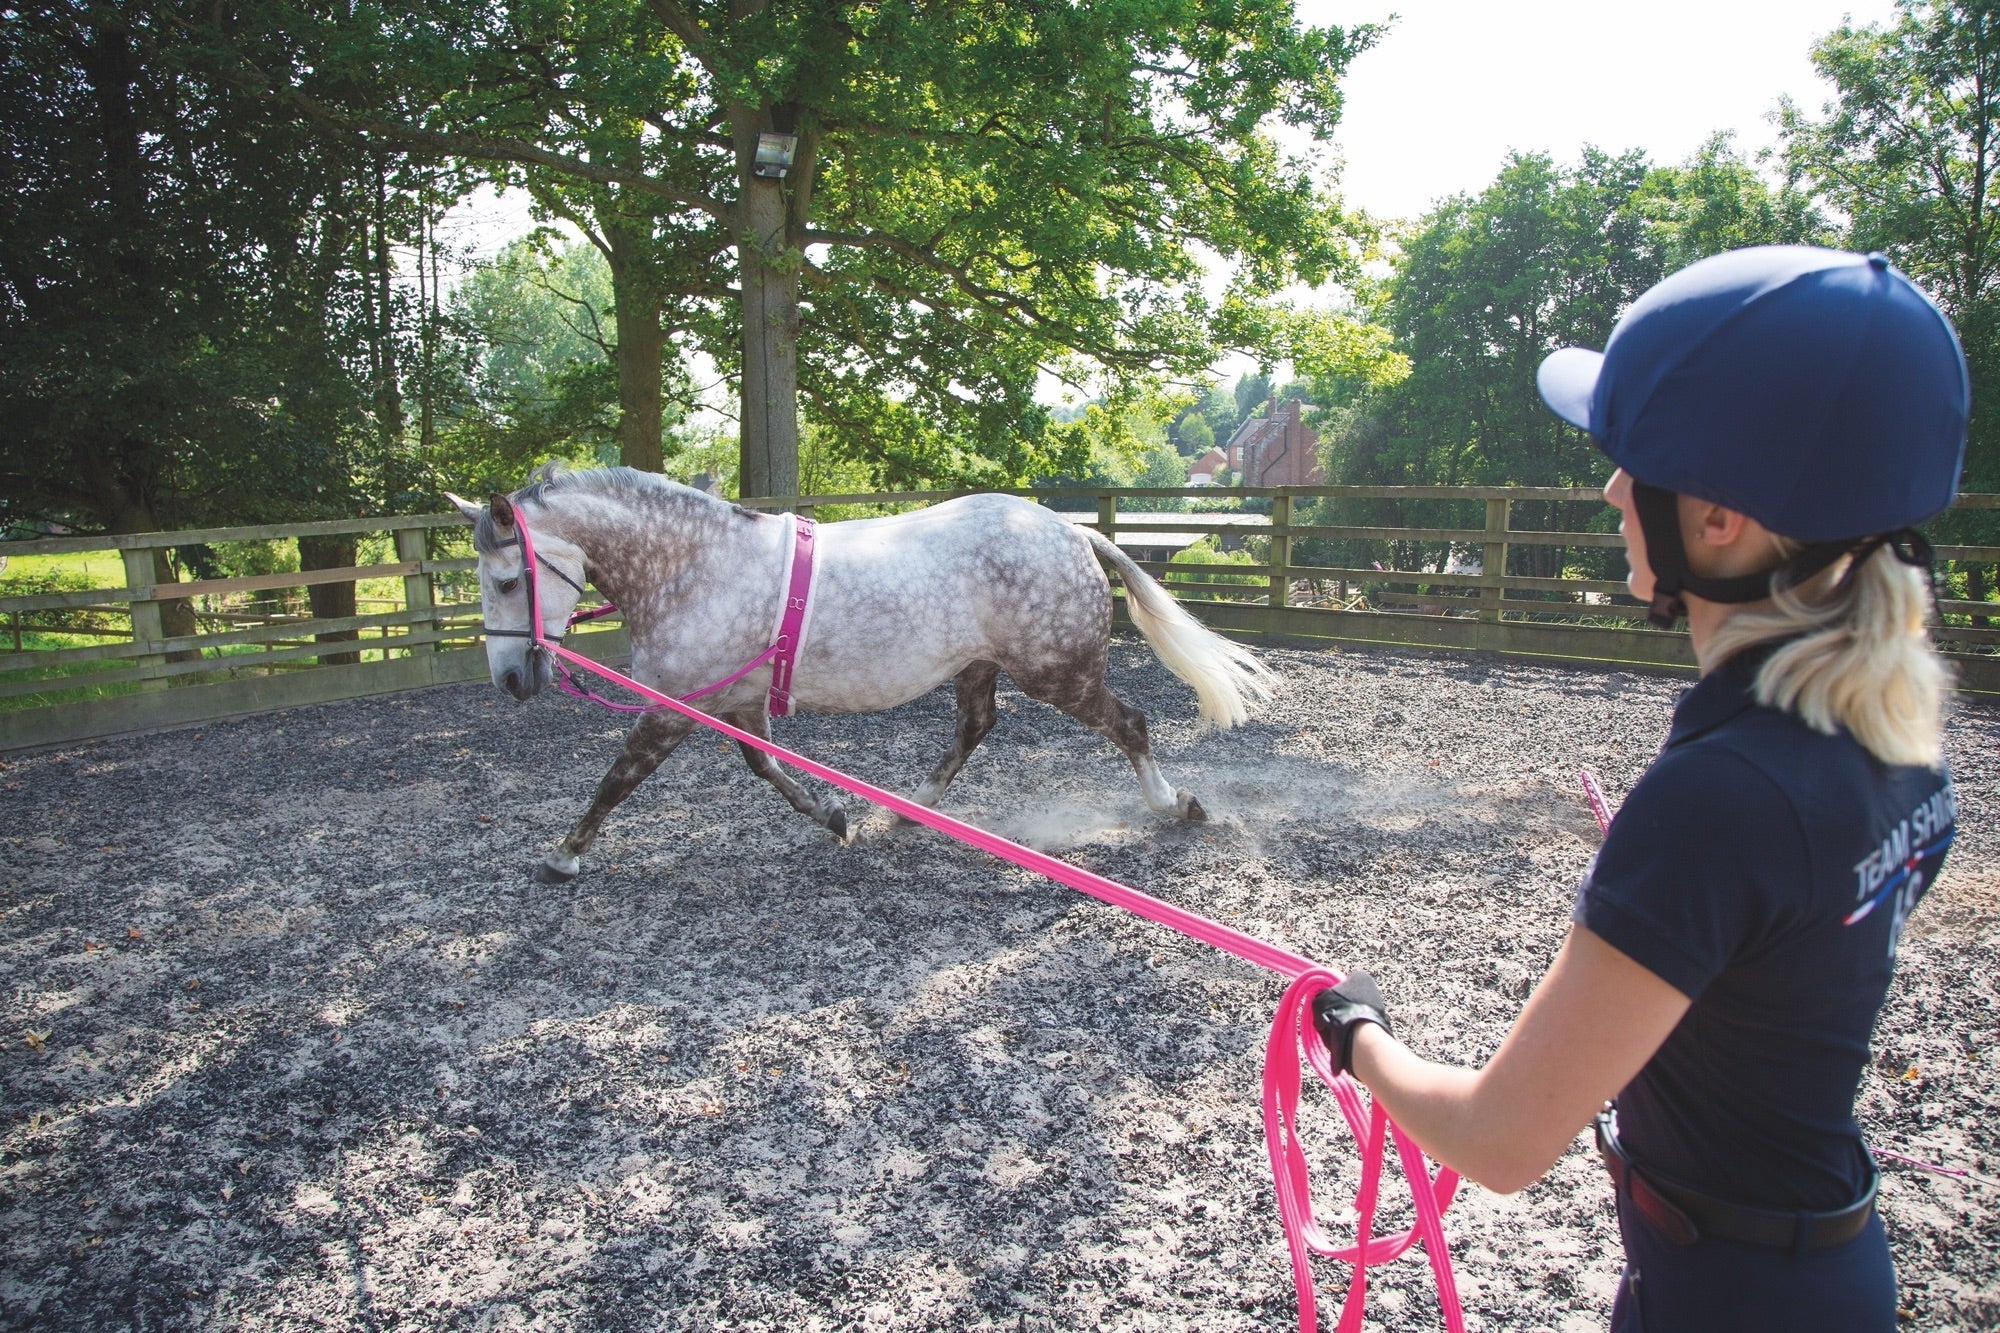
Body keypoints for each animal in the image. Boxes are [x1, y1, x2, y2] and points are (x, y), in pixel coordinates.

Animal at [447, 465, 1277, 883]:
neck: (695, 568)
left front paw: (563, 854)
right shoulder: (735, 702)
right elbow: (765, 767)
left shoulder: (675, 707)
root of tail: (1073, 530)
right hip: (979, 666)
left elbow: (616, 780)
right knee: (976, 727)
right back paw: (908, 810)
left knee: (1129, 723)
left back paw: (1178, 804)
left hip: (1056, 672)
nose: (510, 680)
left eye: (508, 580)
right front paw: (836, 816)